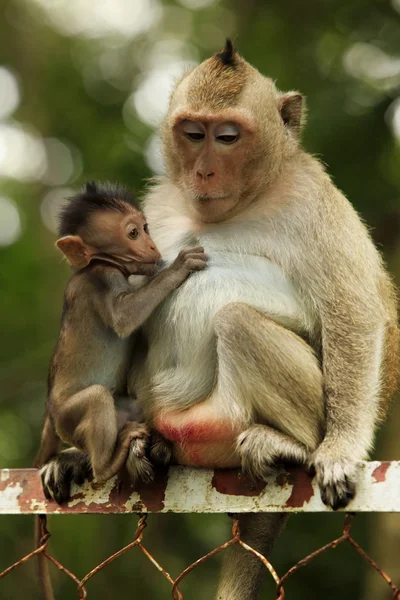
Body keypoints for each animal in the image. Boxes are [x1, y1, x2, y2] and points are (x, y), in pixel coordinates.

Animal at [35, 180, 206, 504]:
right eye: (133, 233)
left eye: (145, 228)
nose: (152, 245)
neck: (94, 263)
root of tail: (51, 412)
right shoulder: (105, 278)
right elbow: (124, 318)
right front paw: (179, 266)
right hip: (68, 418)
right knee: (96, 398)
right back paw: (106, 464)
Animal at [129, 39, 400, 596]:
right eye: (193, 133)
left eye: (228, 137)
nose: (204, 172)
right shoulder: (158, 203)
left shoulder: (311, 198)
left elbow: (353, 311)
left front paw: (341, 449)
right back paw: (149, 444)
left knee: (236, 320)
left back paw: (292, 447)